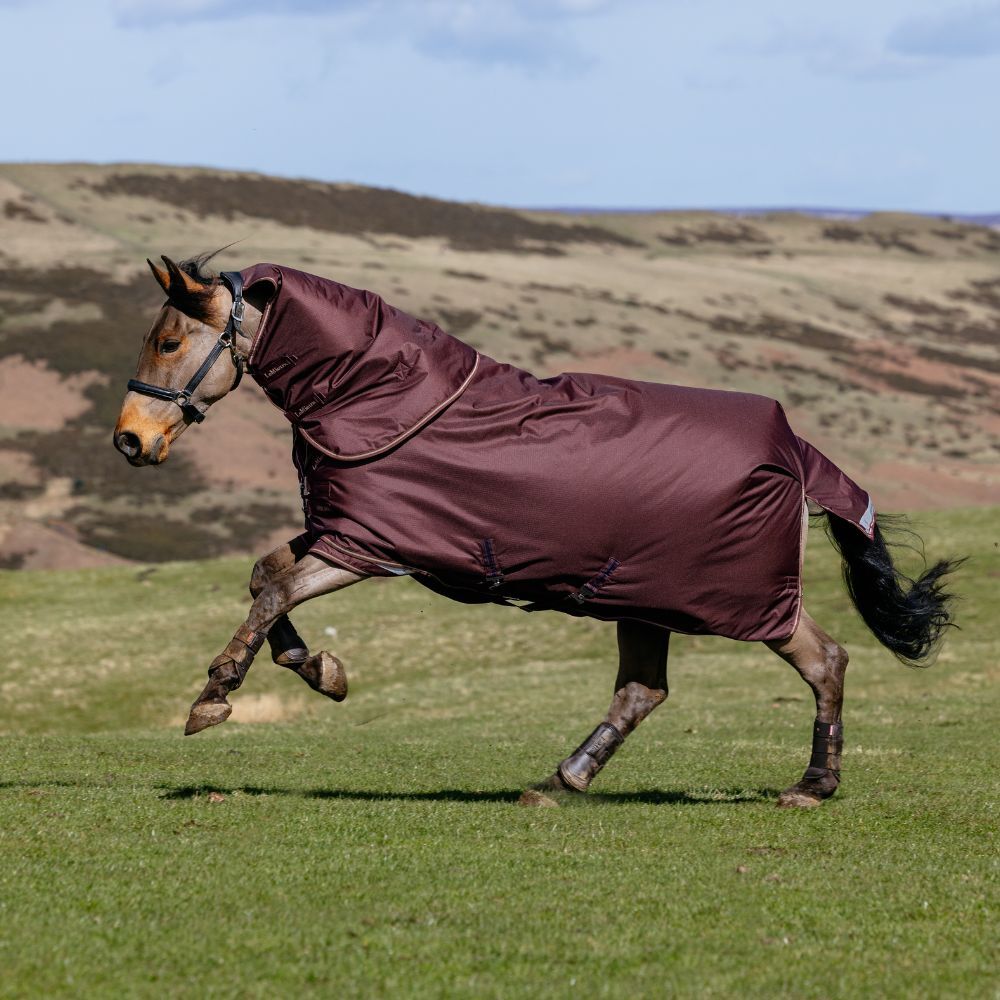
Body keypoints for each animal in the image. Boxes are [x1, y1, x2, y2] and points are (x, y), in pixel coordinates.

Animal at [113, 252, 960, 808]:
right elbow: (265, 577)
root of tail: (794, 450)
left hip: (742, 602)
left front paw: (217, 694)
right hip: (642, 598)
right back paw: (562, 780)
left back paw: (812, 785)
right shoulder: (344, 532)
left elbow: (275, 589)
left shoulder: (367, 544)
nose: (130, 440)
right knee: (642, 691)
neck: (378, 397)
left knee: (825, 661)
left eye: (168, 342)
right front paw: (320, 669)